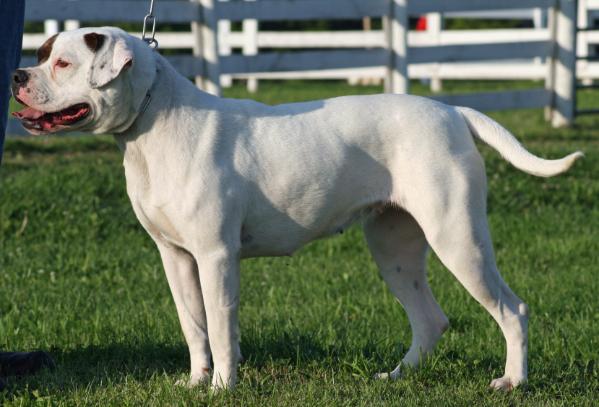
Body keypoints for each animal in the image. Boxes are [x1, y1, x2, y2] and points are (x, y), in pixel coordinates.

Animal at [11, 27, 584, 392]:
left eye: (62, 63)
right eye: (40, 53)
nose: (17, 74)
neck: (155, 120)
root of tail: (453, 111)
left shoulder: (216, 258)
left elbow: (221, 327)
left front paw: (223, 387)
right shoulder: (175, 258)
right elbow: (193, 325)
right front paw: (195, 382)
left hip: (458, 236)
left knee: (512, 309)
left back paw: (513, 381)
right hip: (394, 248)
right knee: (430, 319)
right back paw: (396, 378)